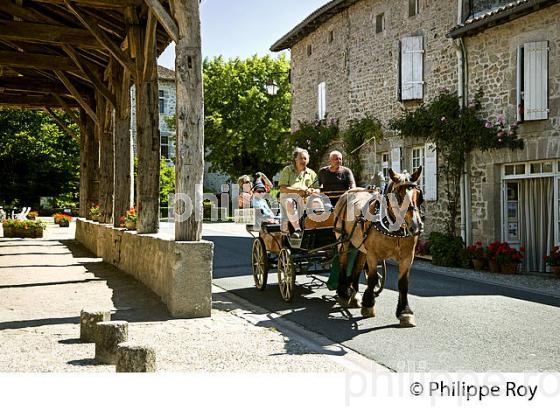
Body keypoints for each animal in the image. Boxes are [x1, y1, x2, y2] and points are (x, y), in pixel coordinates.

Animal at [332, 166, 424, 326]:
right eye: (398, 196)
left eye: (419, 196)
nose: (416, 226)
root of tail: (347, 193)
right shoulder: (373, 255)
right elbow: (373, 278)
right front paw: (369, 305)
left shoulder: (408, 257)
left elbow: (403, 283)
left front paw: (405, 312)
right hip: (343, 241)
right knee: (343, 263)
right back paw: (344, 293)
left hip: (361, 247)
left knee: (357, 267)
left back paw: (354, 295)